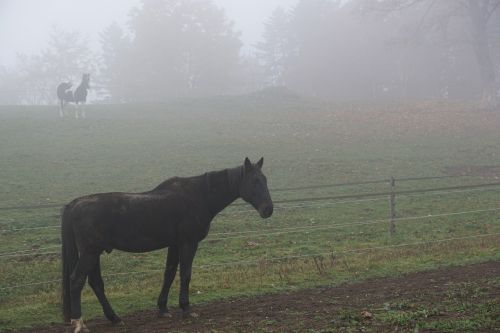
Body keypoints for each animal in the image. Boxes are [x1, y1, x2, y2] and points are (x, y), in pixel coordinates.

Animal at [62, 157, 274, 330]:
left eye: (265, 180)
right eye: (255, 181)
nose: (268, 210)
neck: (199, 195)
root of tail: (75, 204)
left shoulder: (174, 245)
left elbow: (169, 274)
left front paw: (163, 308)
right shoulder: (188, 243)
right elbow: (185, 274)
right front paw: (186, 309)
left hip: (94, 253)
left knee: (96, 283)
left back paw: (114, 318)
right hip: (90, 253)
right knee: (76, 281)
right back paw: (79, 322)